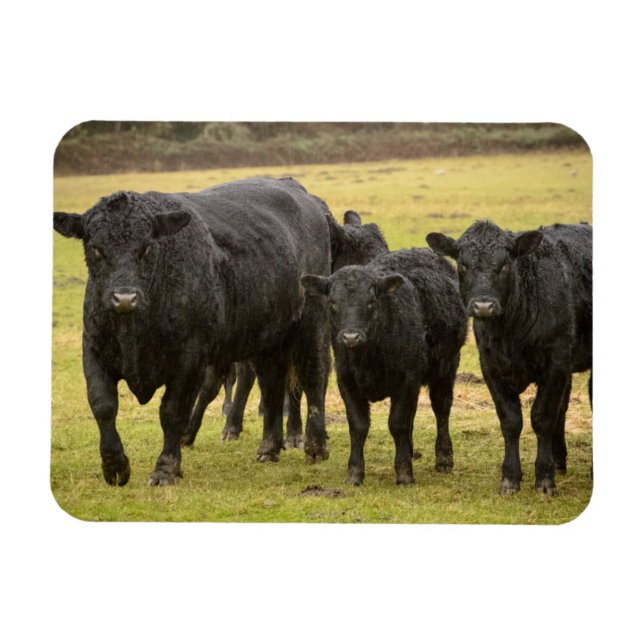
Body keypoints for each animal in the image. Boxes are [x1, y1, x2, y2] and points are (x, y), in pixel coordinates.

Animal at [53, 177, 333, 486]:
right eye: (95, 248)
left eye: (146, 247)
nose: (125, 298)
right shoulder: (94, 351)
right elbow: (102, 405)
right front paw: (115, 466)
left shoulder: (189, 360)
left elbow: (173, 412)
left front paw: (165, 469)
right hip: (267, 338)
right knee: (271, 384)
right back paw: (269, 448)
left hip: (310, 325)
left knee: (313, 376)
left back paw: (315, 446)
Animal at [301, 248, 468, 485]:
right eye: (332, 303)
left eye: (371, 302)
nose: (350, 337)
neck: (368, 359)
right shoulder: (347, 381)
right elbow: (359, 425)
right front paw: (354, 473)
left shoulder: (407, 379)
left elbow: (397, 423)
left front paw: (404, 473)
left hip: (446, 368)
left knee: (441, 409)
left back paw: (444, 458)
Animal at [427, 221, 592, 495]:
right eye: (463, 264)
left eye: (505, 264)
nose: (483, 306)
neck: (510, 332)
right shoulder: (490, 366)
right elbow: (511, 421)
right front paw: (511, 478)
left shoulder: (556, 362)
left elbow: (542, 417)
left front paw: (544, 479)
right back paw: (559, 461)